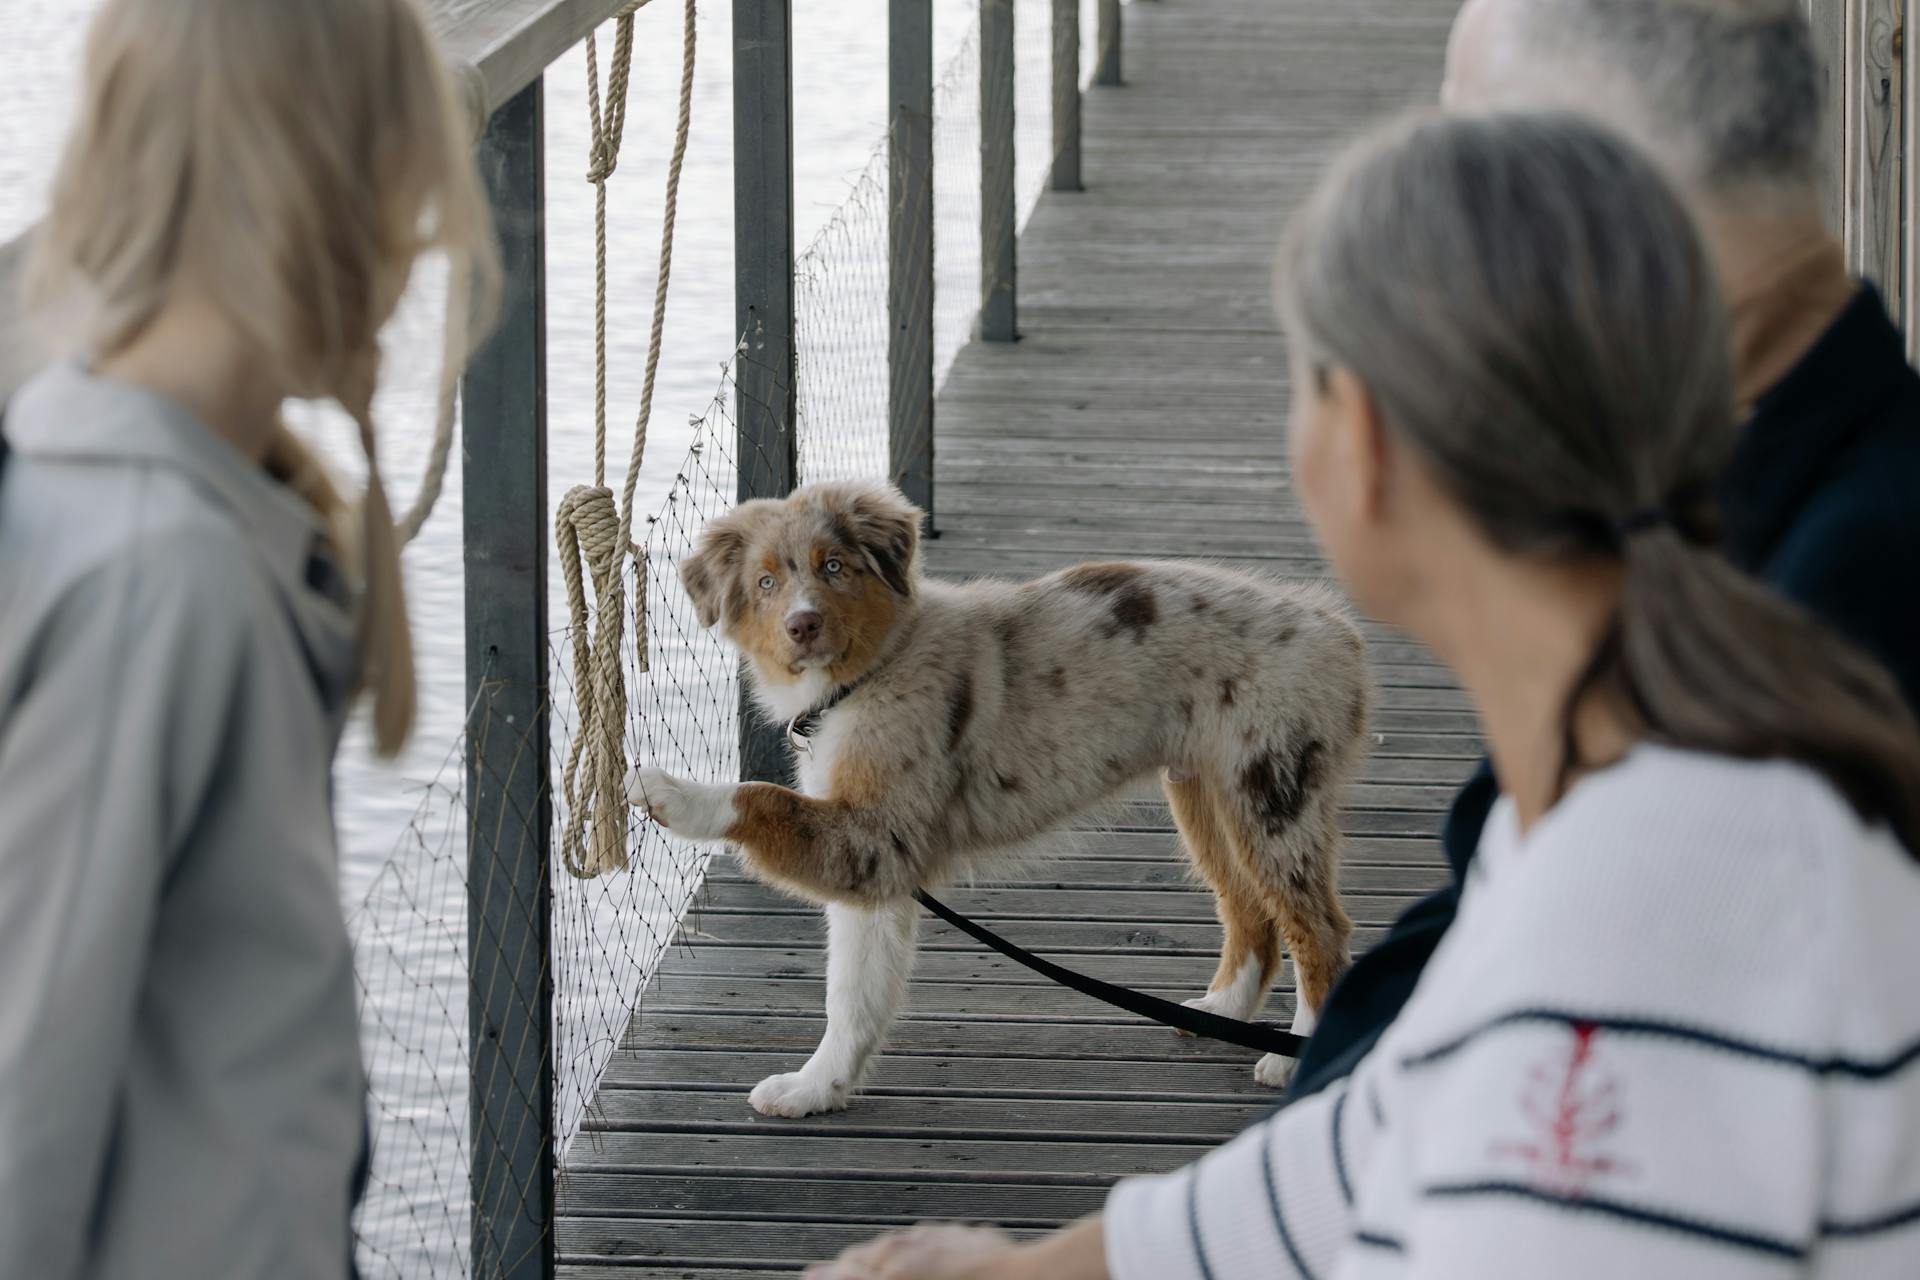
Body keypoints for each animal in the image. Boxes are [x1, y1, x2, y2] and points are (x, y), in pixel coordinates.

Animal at [637, 477, 1374, 1113]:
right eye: (765, 583)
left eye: (835, 567)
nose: (803, 625)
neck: (871, 672)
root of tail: (1337, 630)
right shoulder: (875, 868)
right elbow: (852, 993)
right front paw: (818, 1089)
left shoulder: (878, 838)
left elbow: (759, 796)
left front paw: (670, 792)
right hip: (1206, 793)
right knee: (1249, 910)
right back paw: (1222, 1013)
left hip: (1273, 793)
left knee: (1320, 930)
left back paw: (1294, 1056)